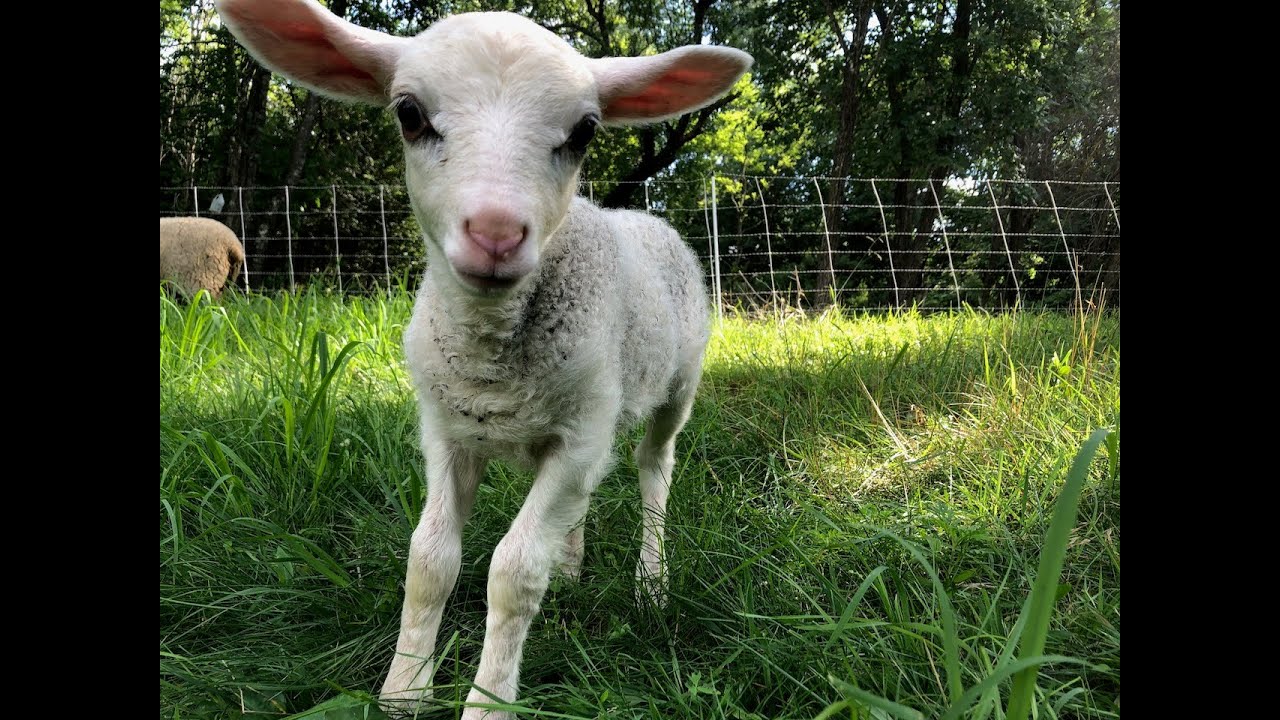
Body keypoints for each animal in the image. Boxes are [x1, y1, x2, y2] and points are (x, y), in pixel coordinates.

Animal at [215, 1, 751, 716]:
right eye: (409, 113)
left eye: (584, 132)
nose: (496, 234)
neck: (492, 358)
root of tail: (645, 217)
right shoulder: (449, 431)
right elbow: (430, 560)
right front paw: (404, 689)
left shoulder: (576, 437)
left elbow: (514, 570)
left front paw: (489, 699)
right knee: (588, 495)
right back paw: (573, 567)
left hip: (676, 383)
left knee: (653, 469)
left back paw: (651, 582)